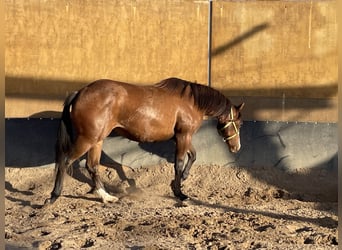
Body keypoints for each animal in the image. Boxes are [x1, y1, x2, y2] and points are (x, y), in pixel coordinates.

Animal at [44, 77, 243, 204]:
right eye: (238, 123)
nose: (236, 147)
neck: (191, 102)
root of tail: (80, 92)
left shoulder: (181, 137)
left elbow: (193, 155)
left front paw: (182, 179)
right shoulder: (183, 135)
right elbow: (179, 163)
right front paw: (179, 193)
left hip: (97, 140)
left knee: (92, 166)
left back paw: (106, 197)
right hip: (87, 139)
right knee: (65, 161)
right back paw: (54, 196)